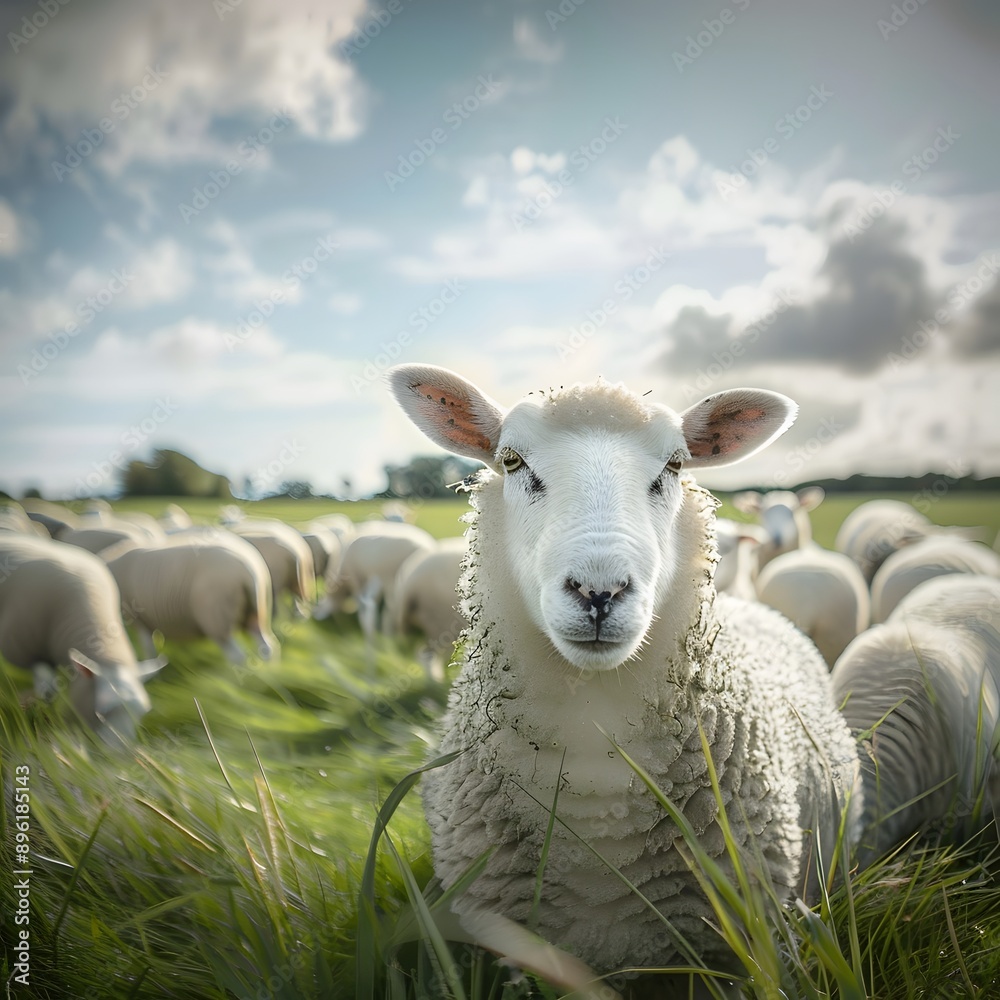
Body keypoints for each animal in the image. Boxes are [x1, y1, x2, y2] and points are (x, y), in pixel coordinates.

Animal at [0, 533, 165, 745]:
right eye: (101, 712)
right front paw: (39, 714)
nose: (123, 752)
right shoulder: (27, 648)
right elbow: (47, 690)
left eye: (143, 712)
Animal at [102, 535, 279, 665]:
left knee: (237, 656)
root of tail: (247, 568)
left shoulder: (137, 618)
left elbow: (148, 647)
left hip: (217, 617)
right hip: (256, 611)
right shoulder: (150, 618)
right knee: (267, 645)